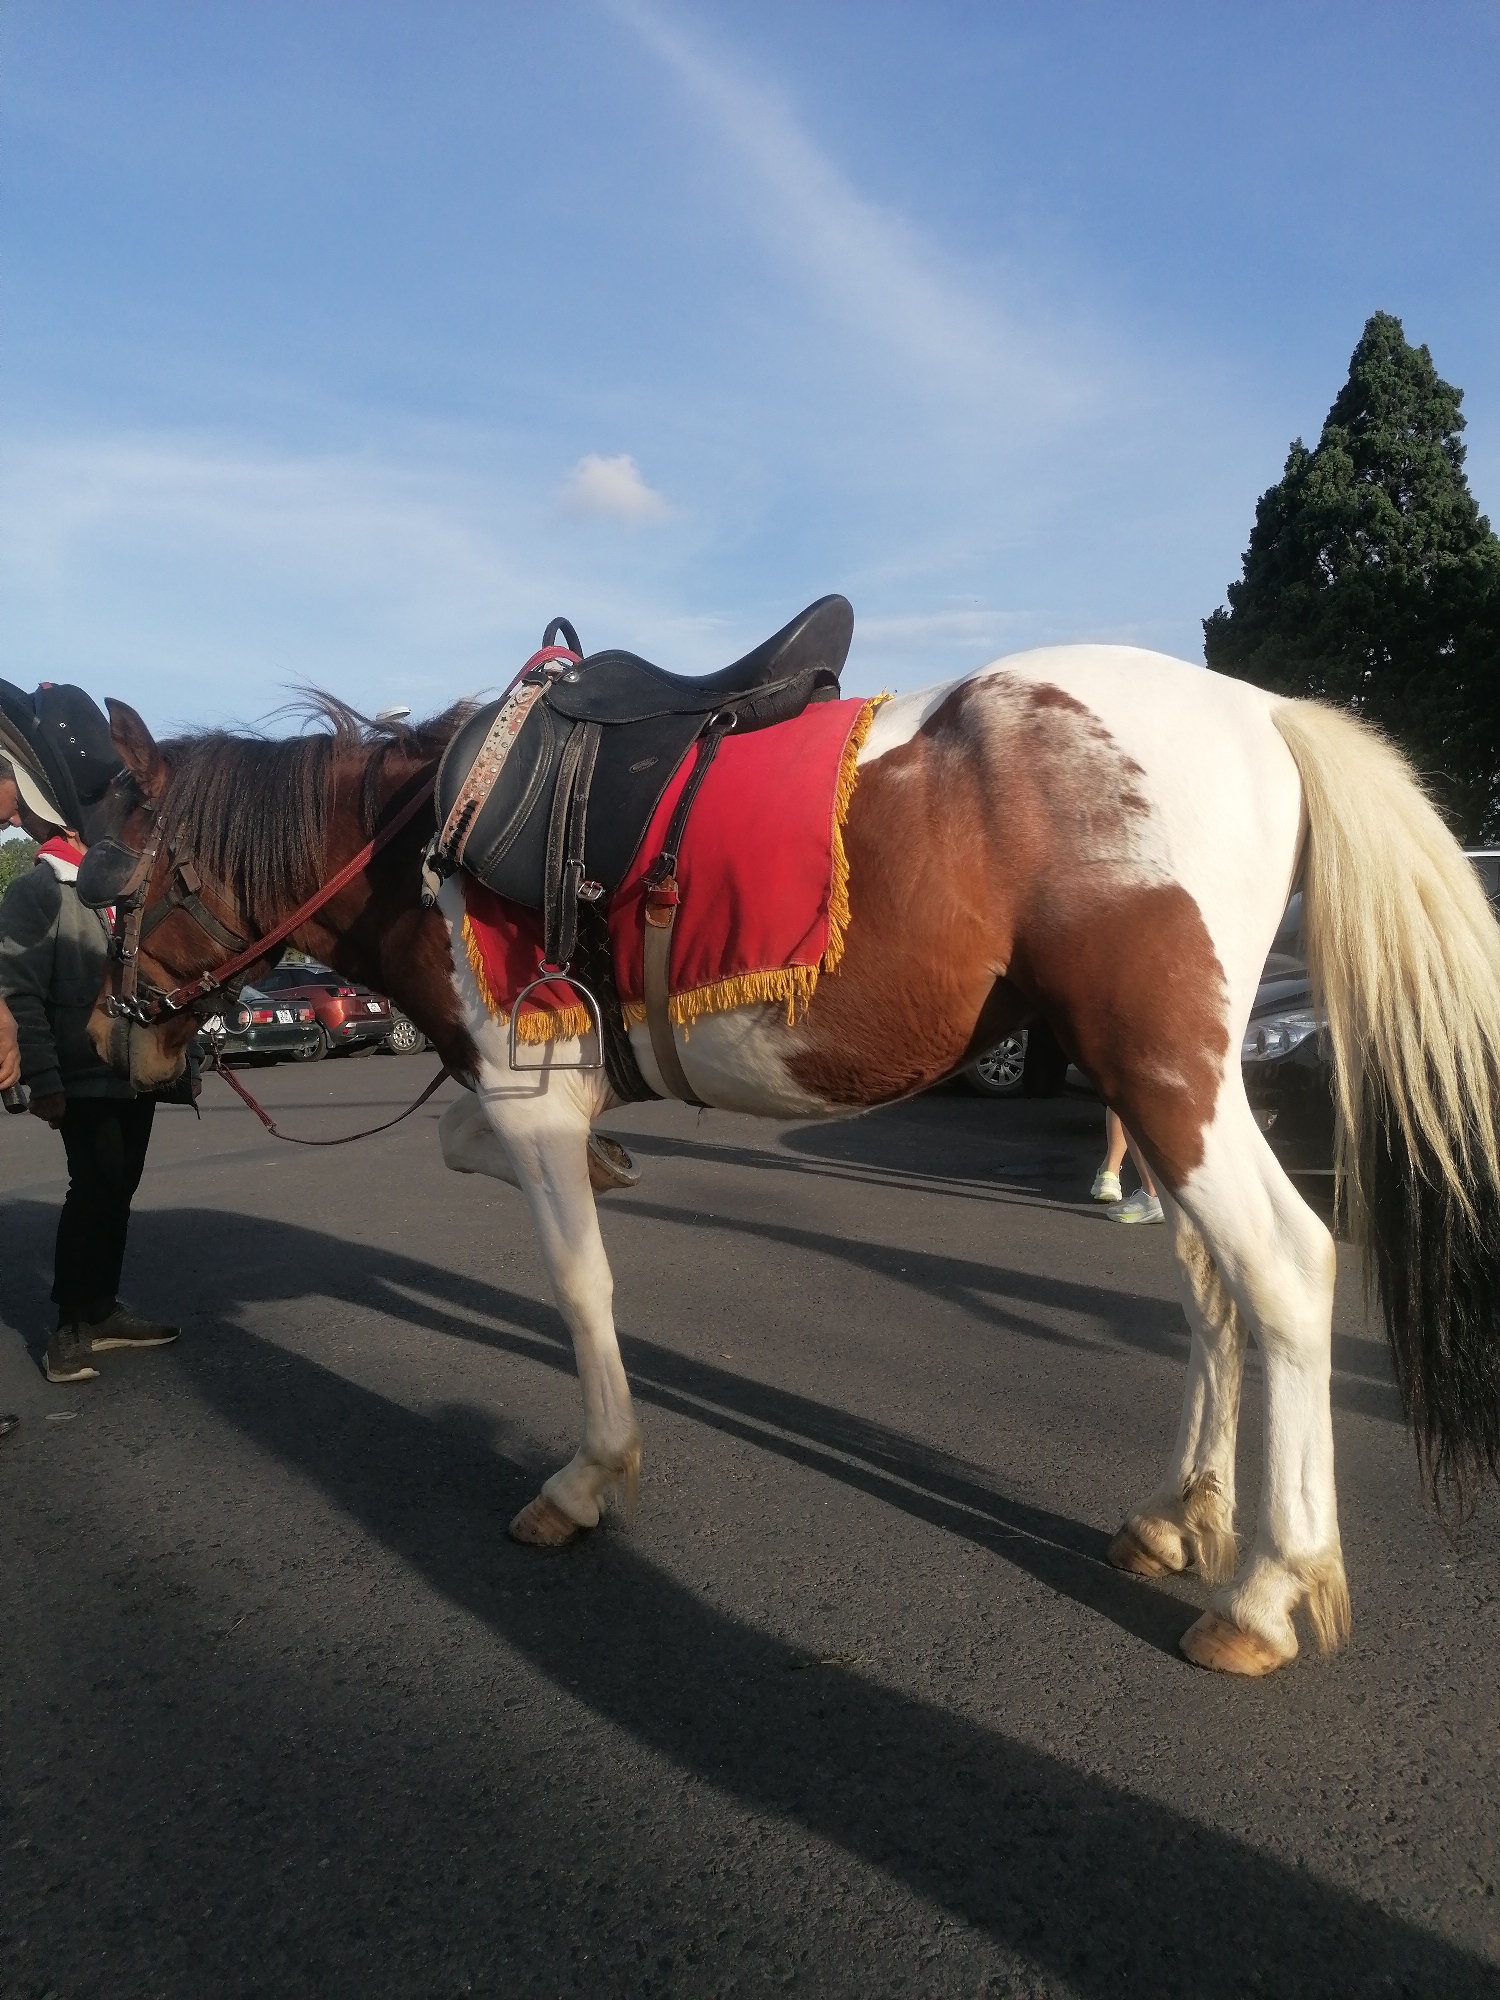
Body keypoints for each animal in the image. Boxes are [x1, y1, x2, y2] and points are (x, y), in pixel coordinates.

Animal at [84, 647, 1500, 1678]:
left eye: (110, 883)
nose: (110, 1041)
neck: (433, 832)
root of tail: (1265, 708)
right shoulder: (522, 1089)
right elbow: (462, 1138)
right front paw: (617, 1165)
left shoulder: (529, 1087)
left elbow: (579, 1288)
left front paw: (590, 1475)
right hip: (1153, 1082)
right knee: (1213, 1284)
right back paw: (1176, 1509)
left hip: (1163, 1068)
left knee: (1286, 1268)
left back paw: (1267, 1588)